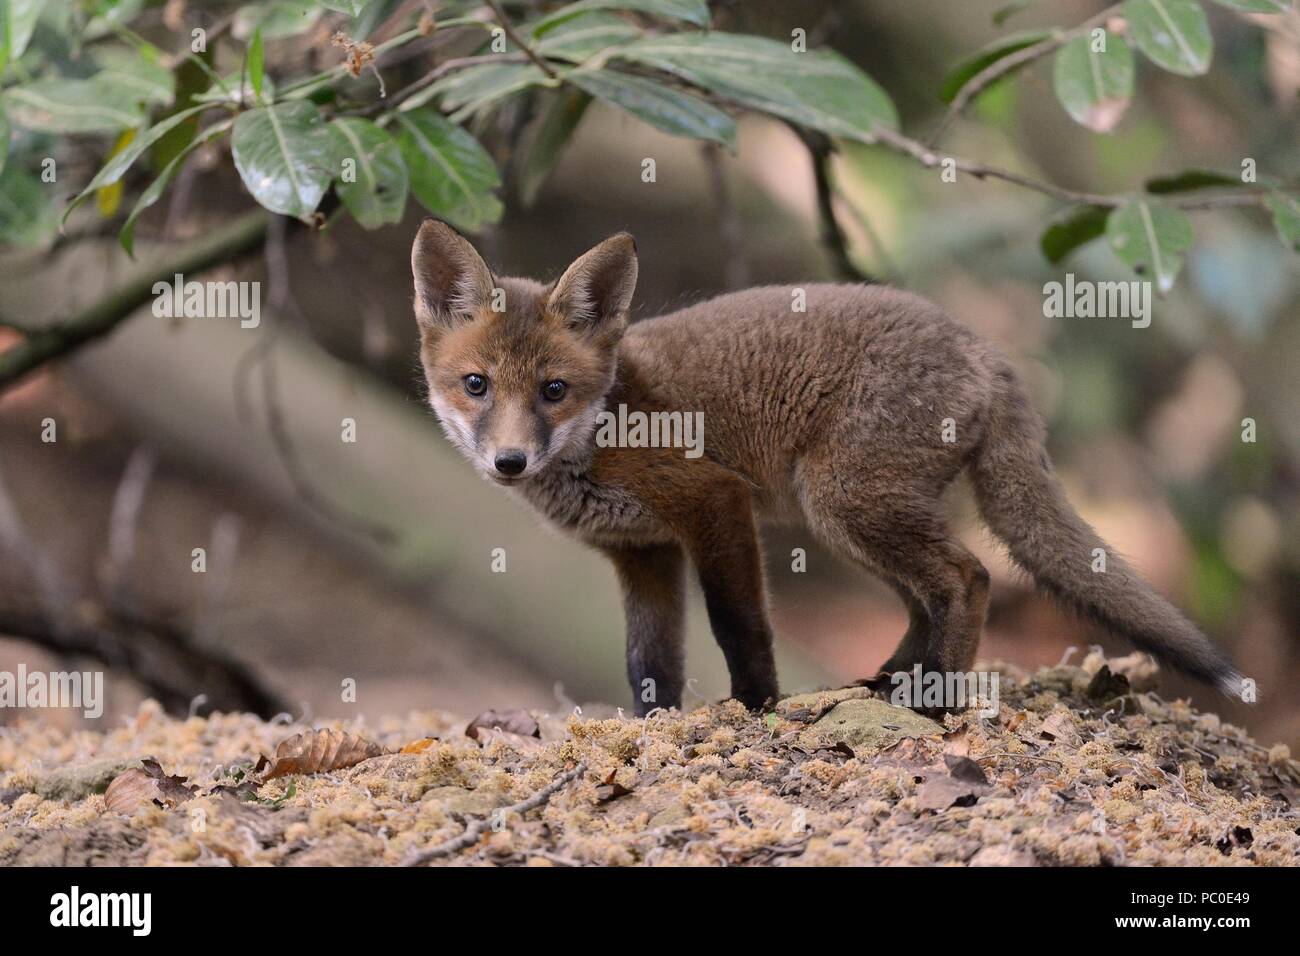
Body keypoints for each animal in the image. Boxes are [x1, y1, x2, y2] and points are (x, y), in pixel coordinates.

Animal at [410, 219, 1243, 717]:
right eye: (476, 385)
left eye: (553, 390)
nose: (510, 461)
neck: (605, 423)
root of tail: (986, 350)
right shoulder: (641, 552)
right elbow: (649, 662)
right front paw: (655, 726)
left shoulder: (713, 501)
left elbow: (739, 625)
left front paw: (757, 706)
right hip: (847, 517)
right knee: (924, 598)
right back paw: (895, 678)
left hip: (845, 503)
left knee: (967, 576)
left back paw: (936, 696)